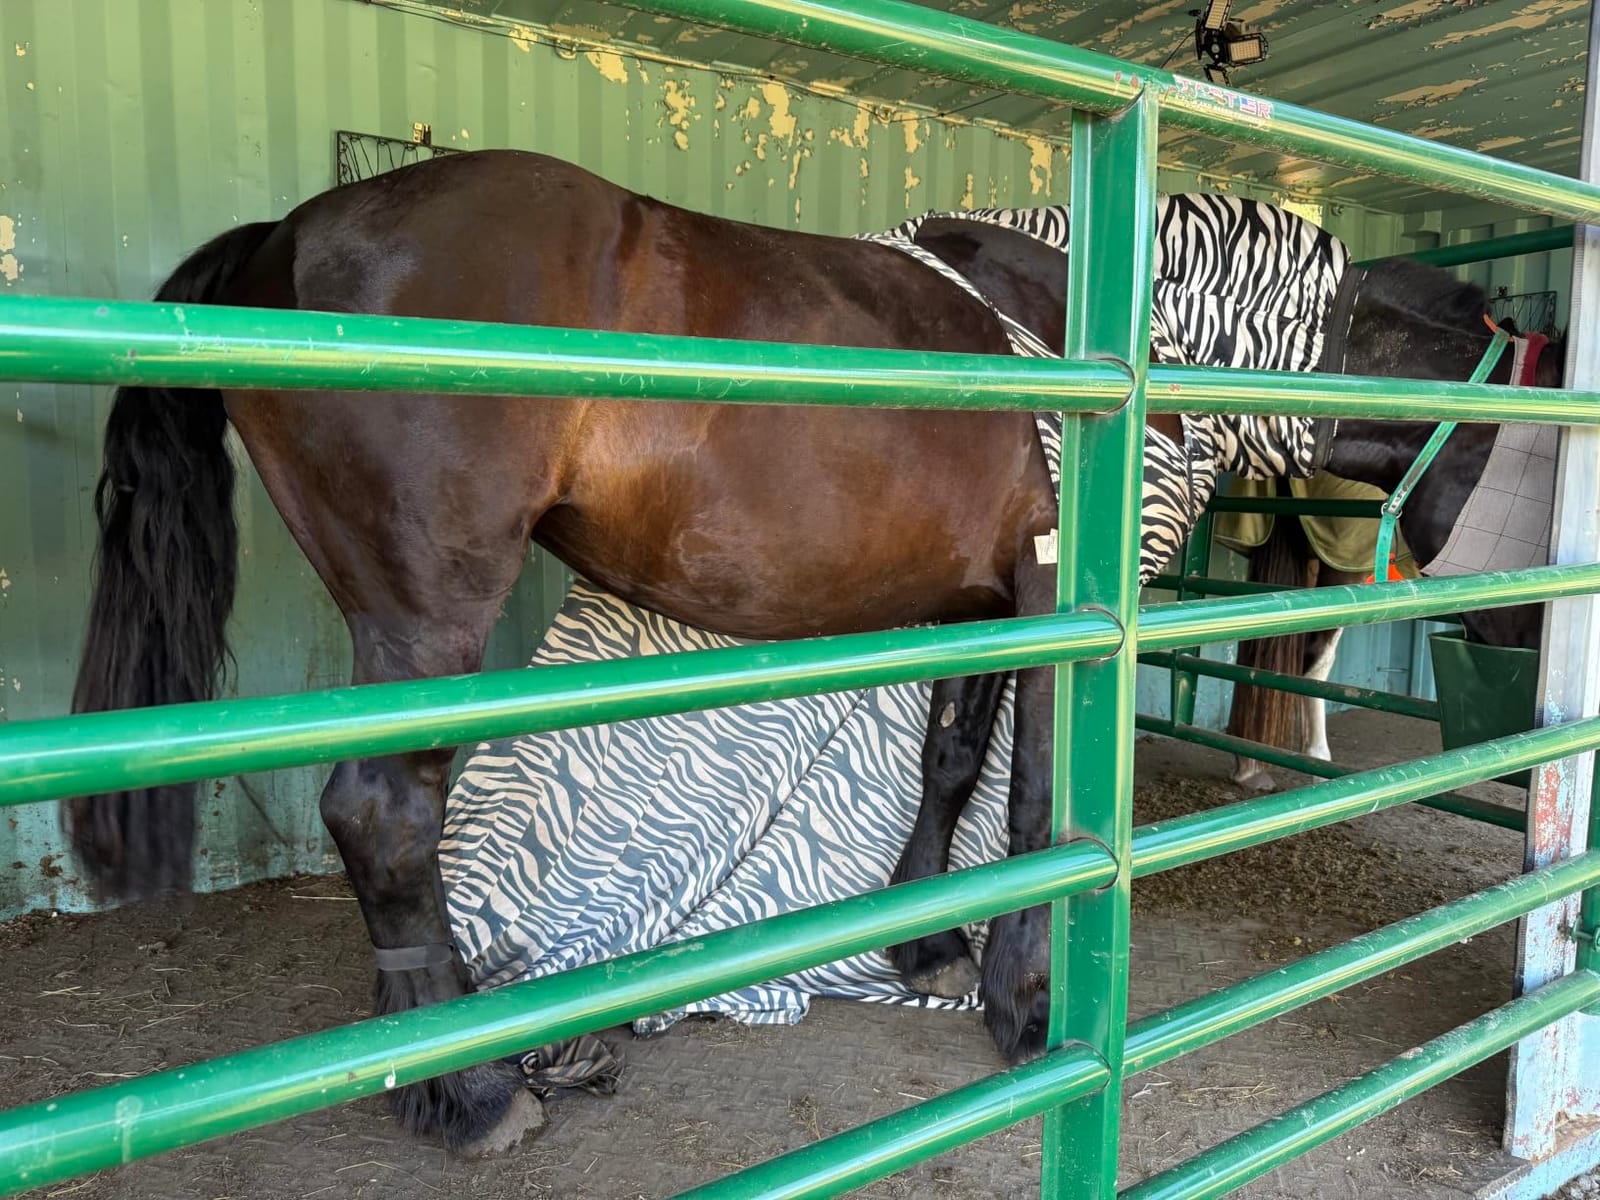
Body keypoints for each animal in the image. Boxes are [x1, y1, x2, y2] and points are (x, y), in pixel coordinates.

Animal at [60, 149, 1560, 1154]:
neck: (1102, 337)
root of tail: (292, 239)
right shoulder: (1056, 600)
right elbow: (1036, 807)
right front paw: (1023, 1006)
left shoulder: (979, 604)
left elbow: (953, 761)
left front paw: (928, 947)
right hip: (424, 615)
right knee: (381, 813)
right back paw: (473, 1092)